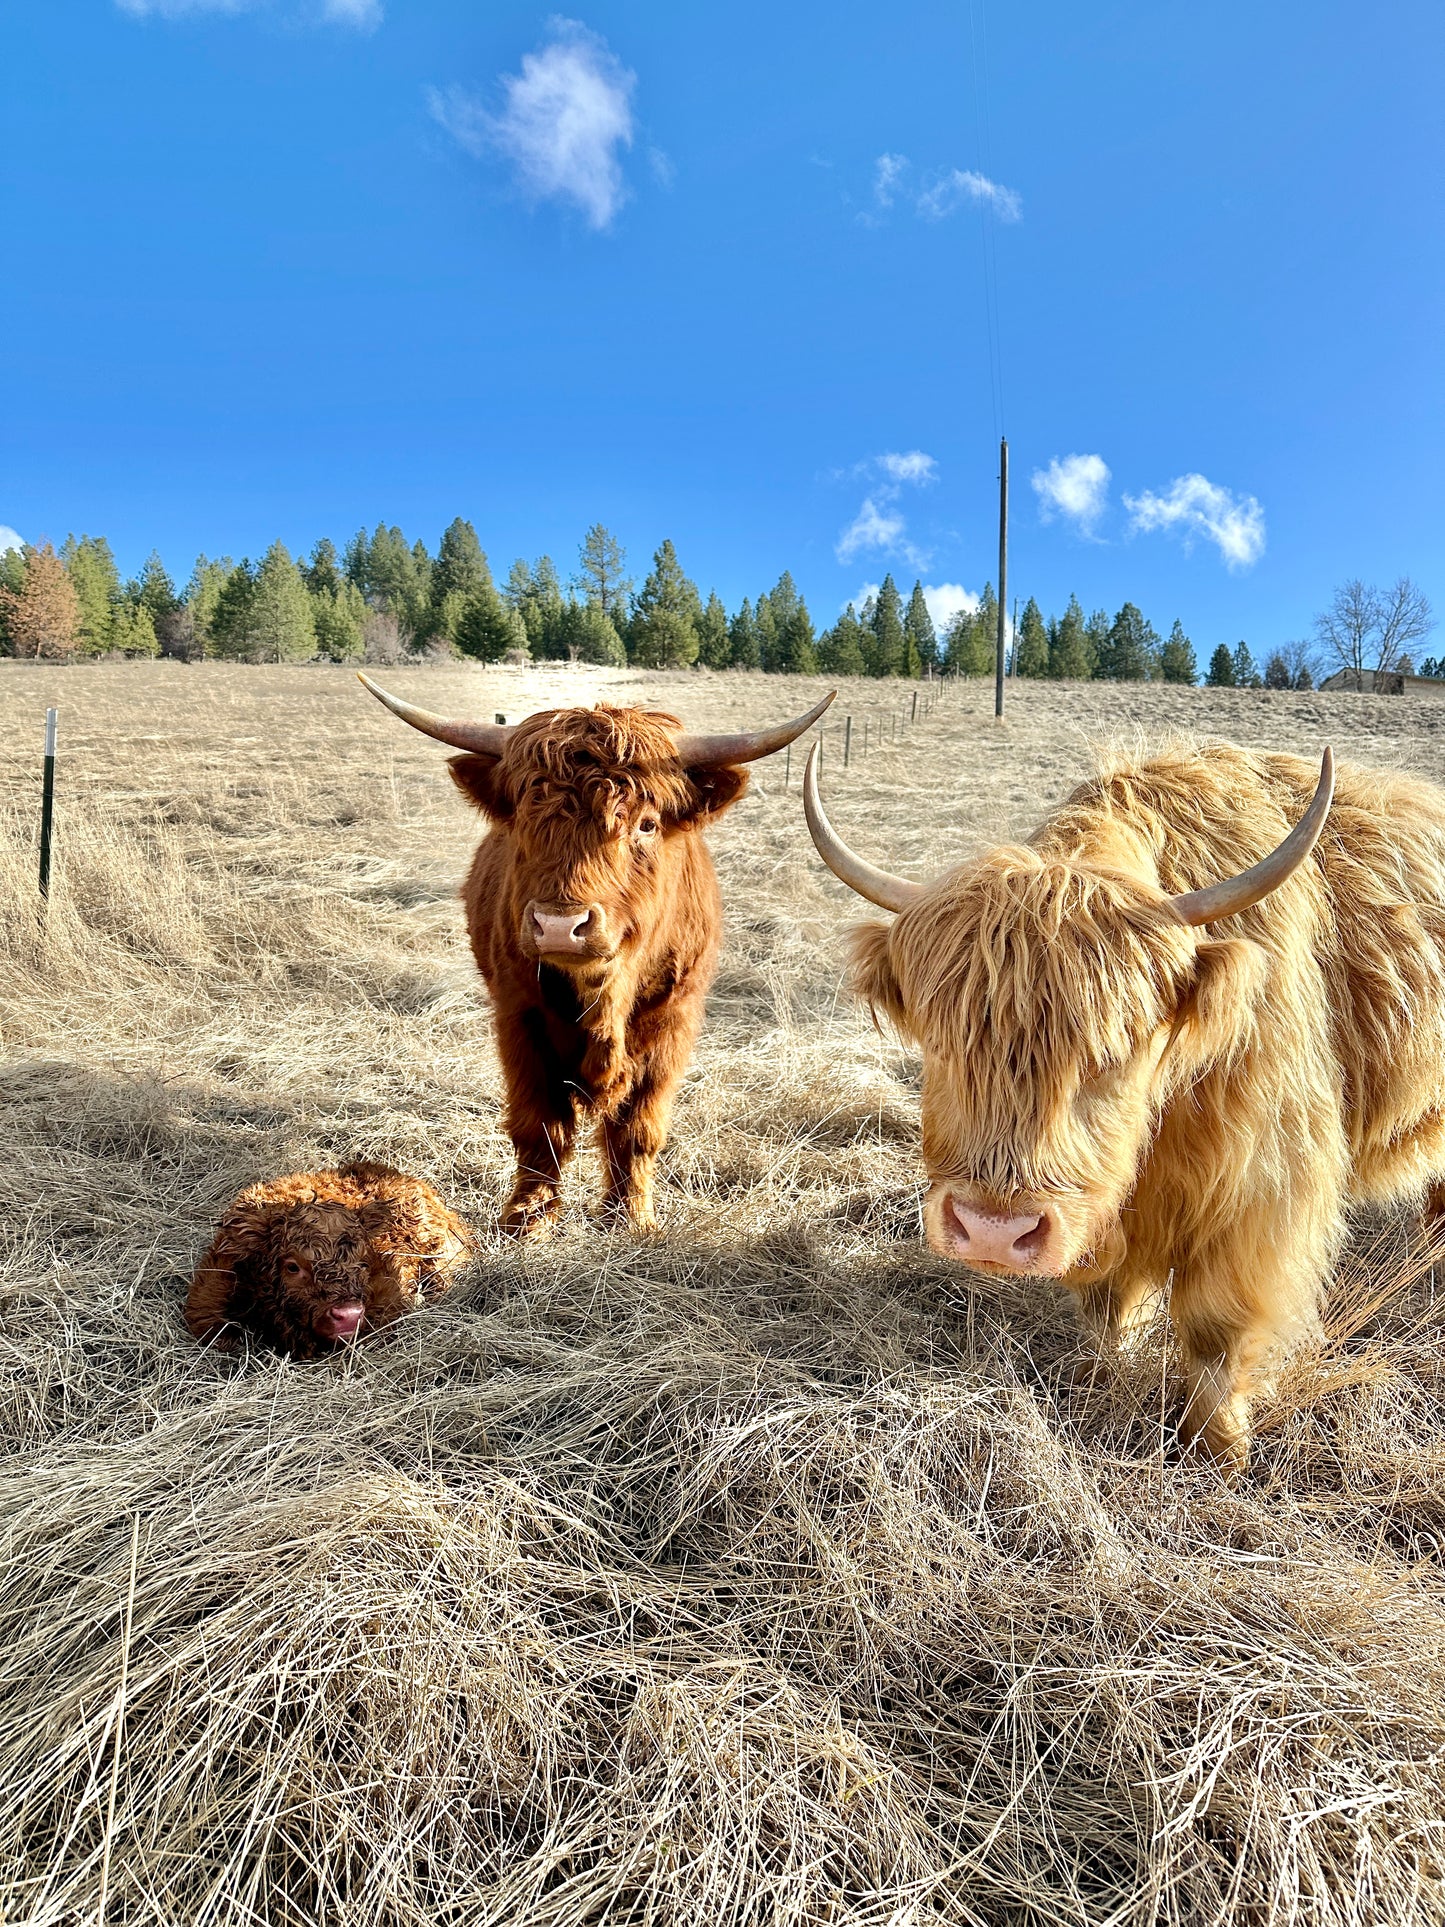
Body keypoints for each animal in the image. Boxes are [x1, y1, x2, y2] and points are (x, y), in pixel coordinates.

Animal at [361, 675, 834, 1236]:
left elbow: (638, 1129)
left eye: (646, 825)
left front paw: (632, 1219)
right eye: (525, 818)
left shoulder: (674, 1022)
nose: (560, 927)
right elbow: (539, 1125)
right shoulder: (517, 1017)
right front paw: (527, 1218)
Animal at [803, 738, 1445, 1468]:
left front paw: (1218, 1452)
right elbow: (1108, 1307)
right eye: (941, 1046)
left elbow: (1216, 1329)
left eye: (1113, 1053)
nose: (994, 1231)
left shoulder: (1260, 1192)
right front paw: (1098, 1382)